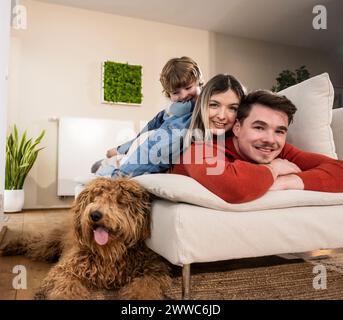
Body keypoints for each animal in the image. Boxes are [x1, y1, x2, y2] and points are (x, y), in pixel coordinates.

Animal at [0, 178, 171, 300]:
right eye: (94, 198)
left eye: (119, 201)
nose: (94, 215)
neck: (110, 253)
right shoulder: (68, 269)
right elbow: (66, 287)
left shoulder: (152, 270)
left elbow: (145, 287)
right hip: (48, 246)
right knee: (31, 243)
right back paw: (8, 246)